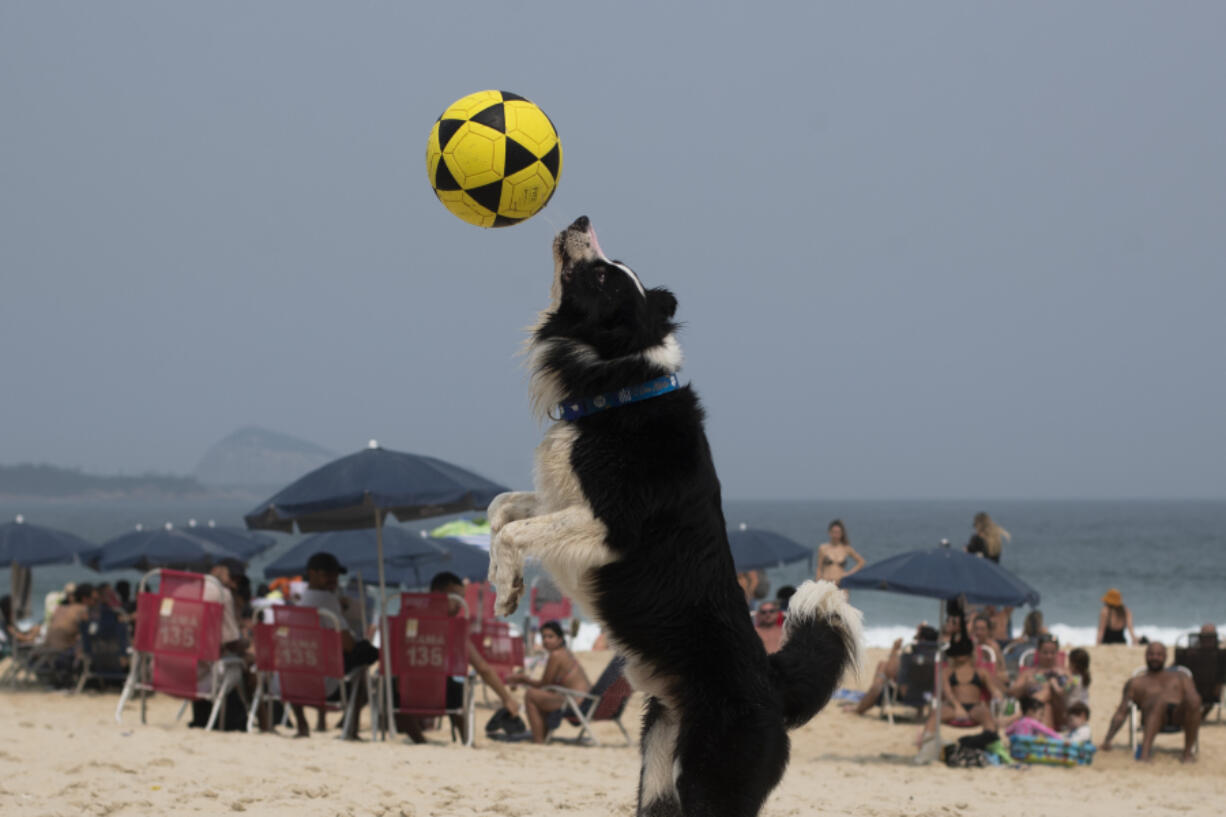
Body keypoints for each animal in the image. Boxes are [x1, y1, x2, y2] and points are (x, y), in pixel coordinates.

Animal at [487, 215, 863, 814]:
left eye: (603, 277)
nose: (581, 219)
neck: (620, 387)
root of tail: (772, 684)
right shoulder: (561, 499)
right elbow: (500, 509)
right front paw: (503, 583)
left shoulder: (611, 525)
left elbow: (517, 530)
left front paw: (503, 588)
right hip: (661, 773)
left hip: (711, 784)